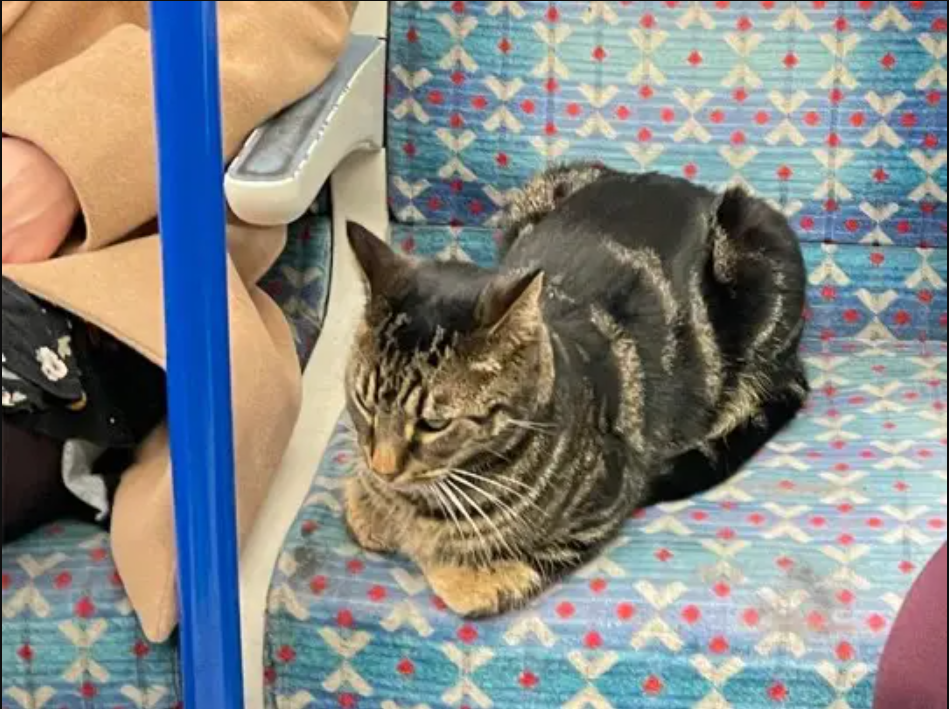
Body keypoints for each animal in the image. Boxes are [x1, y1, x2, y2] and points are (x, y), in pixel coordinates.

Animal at [344, 163, 804, 616]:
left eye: (435, 424)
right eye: (363, 402)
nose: (383, 466)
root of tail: (693, 186)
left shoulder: (606, 503)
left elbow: (462, 581)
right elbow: (359, 503)